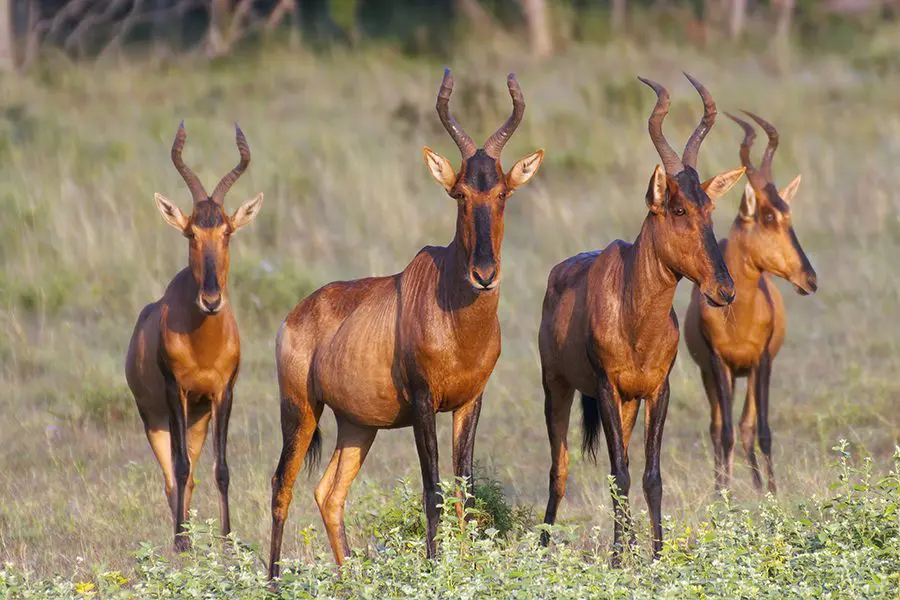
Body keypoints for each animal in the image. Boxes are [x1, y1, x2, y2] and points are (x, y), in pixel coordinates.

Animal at [125, 123, 262, 552]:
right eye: (190, 233)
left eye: (227, 231)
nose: (211, 299)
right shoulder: (175, 392)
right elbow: (181, 468)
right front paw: (183, 543)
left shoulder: (223, 393)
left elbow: (222, 468)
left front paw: (228, 539)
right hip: (155, 418)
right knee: (172, 476)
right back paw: (180, 534)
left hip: (198, 419)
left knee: (193, 474)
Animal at [264, 69, 544, 576]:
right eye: (459, 193)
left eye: (502, 192)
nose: (484, 274)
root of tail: (295, 314)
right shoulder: (422, 401)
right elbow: (433, 491)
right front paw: (436, 570)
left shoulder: (470, 403)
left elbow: (464, 492)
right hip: (300, 410)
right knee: (282, 485)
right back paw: (273, 580)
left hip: (358, 425)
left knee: (329, 493)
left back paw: (348, 577)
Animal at [536, 74, 740, 556]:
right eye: (677, 207)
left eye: (709, 207)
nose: (724, 291)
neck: (634, 315)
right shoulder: (606, 388)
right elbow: (619, 473)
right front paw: (616, 559)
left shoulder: (656, 391)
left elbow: (649, 476)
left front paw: (655, 554)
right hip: (557, 387)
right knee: (560, 469)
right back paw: (544, 546)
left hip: (628, 404)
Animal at [684, 110, 820, 494]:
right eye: (768, 215)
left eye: (788, 213)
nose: (810, 279)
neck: (739, 314)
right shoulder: (719, 365)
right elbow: (725, 432)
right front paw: (724, 495)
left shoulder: (762, 362)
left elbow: (762, 431)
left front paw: (771, 492)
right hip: (715, 376)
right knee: (719, 428)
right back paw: (724, 485)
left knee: (746, 425)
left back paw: (758, 485)